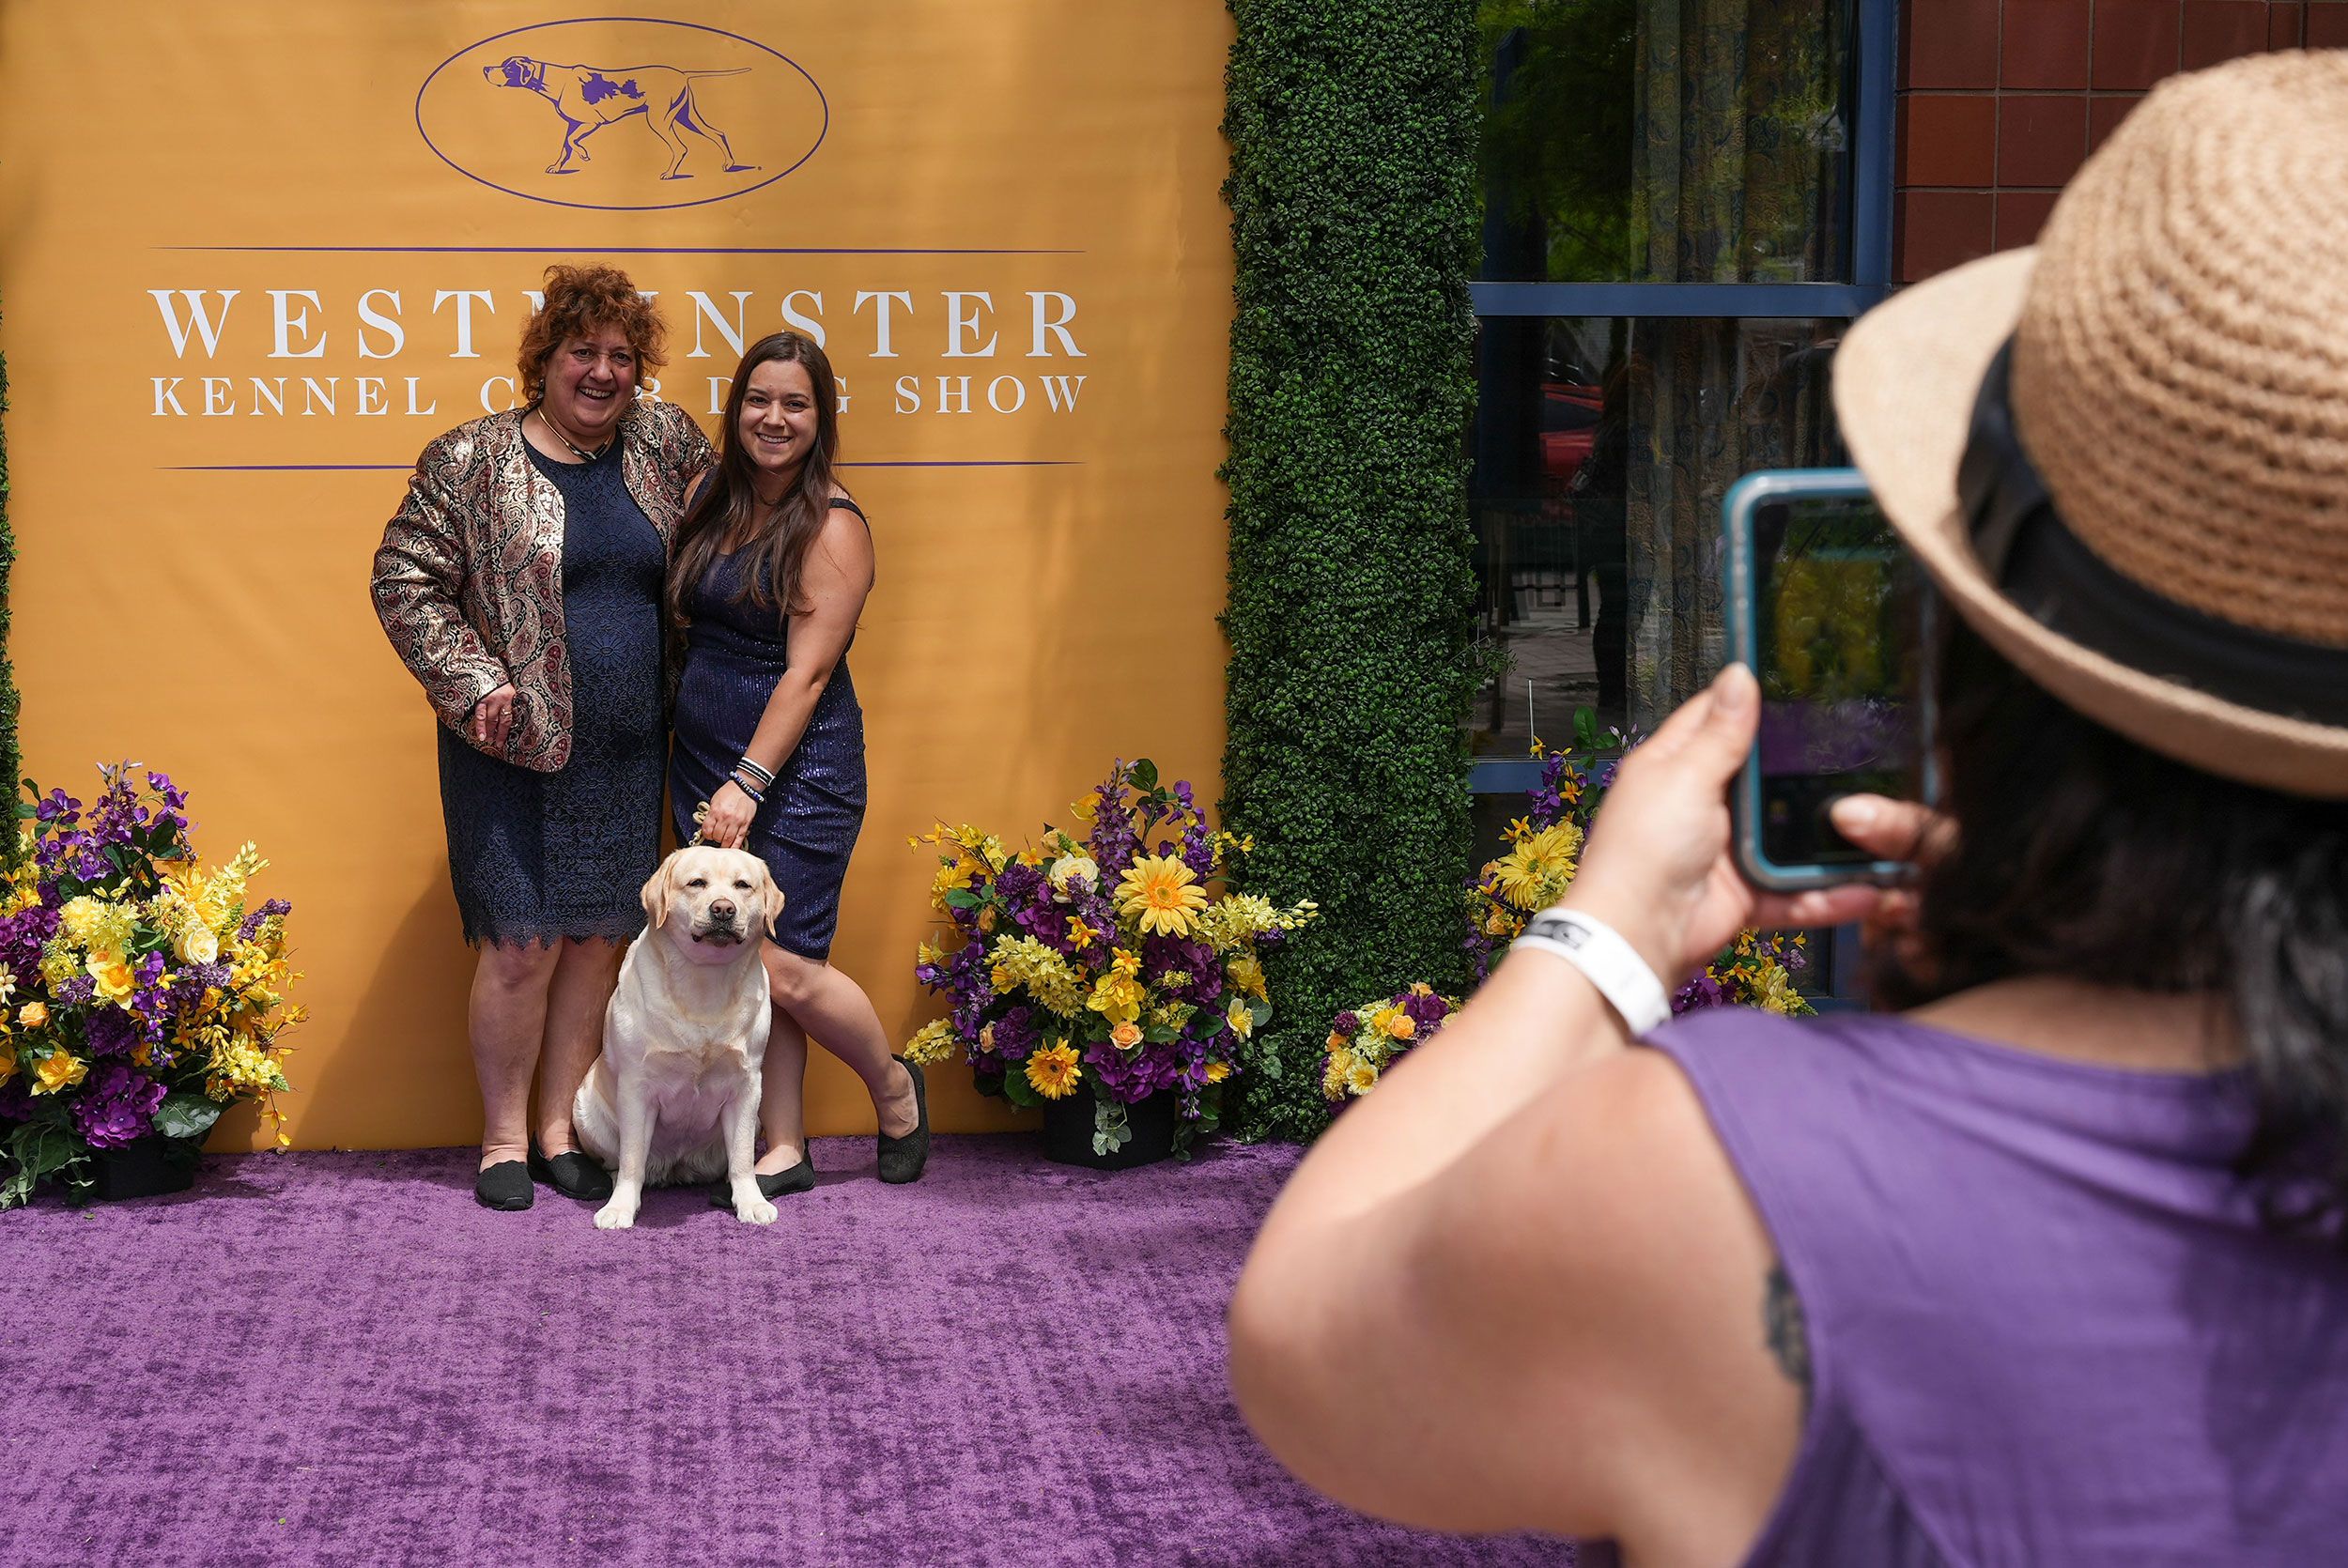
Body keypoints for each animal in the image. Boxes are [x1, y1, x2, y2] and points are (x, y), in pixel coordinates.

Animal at [578, 845, 789, 1221]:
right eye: (697, 883)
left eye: (742, 885)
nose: (723, 909)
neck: (704, 981)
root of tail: (674, 1165)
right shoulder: (636, 1086)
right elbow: (632, 1159)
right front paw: (620, 1208)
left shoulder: (747, 1084)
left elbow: (742, 1158)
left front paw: (751, 1202)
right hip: (585, 1110)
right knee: (619, 1161)